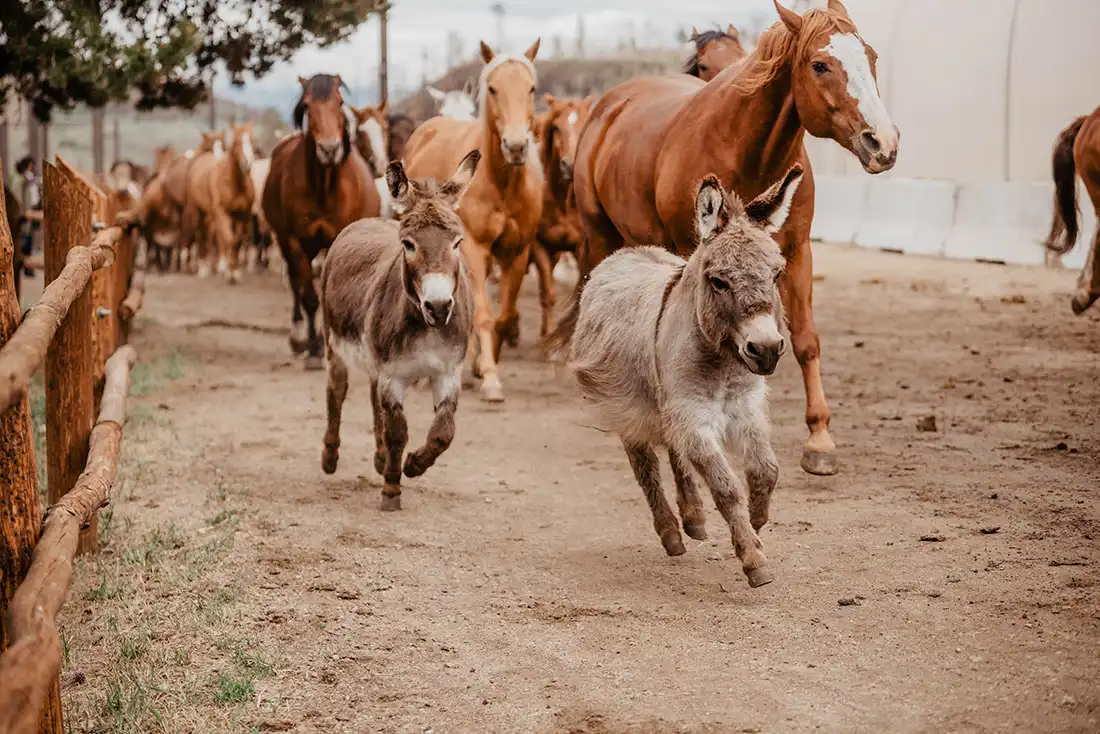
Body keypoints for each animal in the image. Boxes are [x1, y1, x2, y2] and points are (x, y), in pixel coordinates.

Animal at [183, 122, 256, 283]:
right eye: (236, 142)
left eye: (252, 140)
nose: (247, 163)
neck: (235, 184)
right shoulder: (222, 212)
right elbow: (228, 239)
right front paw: (229, 274)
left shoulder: (243, 215)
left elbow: (236, 241)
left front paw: (234, 272)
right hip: (198, 212)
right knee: (201, 236)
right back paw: (203, 269)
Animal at [261, 73, 382, 369]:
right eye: (307, 105)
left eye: (339, 102)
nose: (329, 149)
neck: (324, 189)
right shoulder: (295, 242)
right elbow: (310, 297)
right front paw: (314, 349)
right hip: (287, 242)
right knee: (295, 284)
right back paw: (298, 339)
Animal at [402, 38, 543, 402]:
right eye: (492, 89)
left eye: (531, 88)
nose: (516, 146)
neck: (501, 185)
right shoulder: (475, 249)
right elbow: (481, 314)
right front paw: (490, 379)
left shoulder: (517, 252)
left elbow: (503, 316)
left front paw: (484, 367)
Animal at [550, 1, 902, 477]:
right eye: (820, 65)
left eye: (872, 56)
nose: (882, 142)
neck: (744, 150)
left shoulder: (796, 254)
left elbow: (806, 342)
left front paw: (820, 440)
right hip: (599, 234)